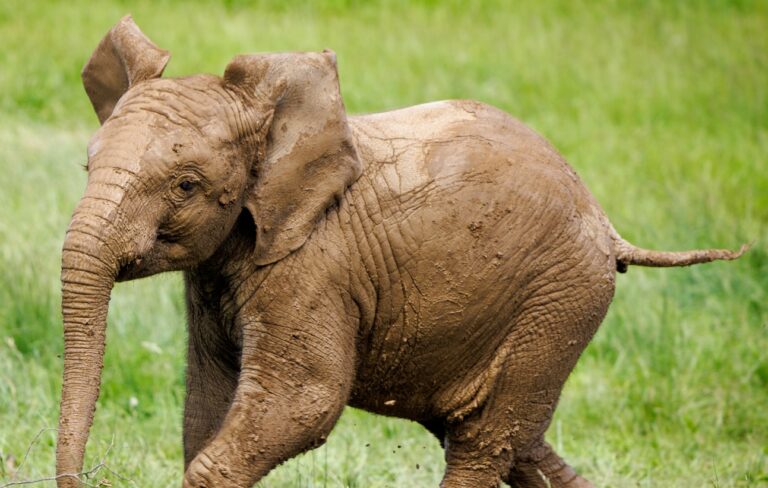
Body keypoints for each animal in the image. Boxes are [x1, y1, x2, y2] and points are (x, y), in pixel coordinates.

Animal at [56, 16, 747, 488]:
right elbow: (207, 404)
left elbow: (302, 403)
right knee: (514, 440)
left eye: (185, 186)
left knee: (484, 441)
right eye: (86, 167)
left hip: (560, 298)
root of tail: (607, 226)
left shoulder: (313, 269)